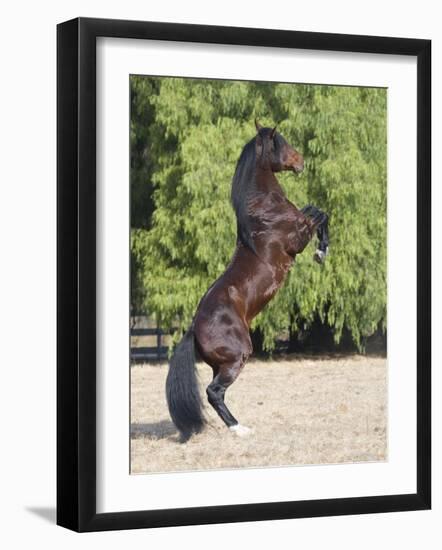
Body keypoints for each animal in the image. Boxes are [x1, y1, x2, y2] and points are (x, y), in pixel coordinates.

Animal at [166, 121, 328, 440]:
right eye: (281, 142)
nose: (301, 161)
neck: (264, 211)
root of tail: (193, 329)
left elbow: (313, 208)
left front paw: (322, 249)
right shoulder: (297, 237)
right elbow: (320, 213)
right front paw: (321, 251)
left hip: (222, 363)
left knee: (216, 393)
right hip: (238, 356)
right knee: (213, 392)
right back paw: (240, 429)